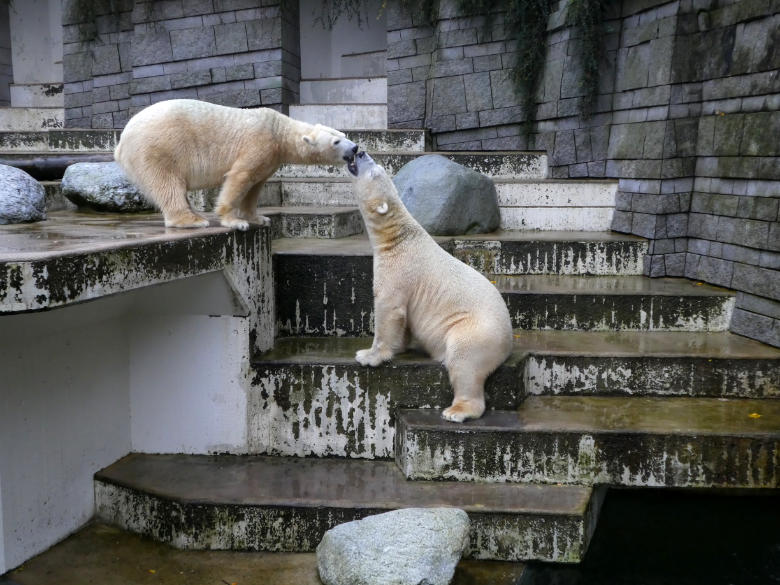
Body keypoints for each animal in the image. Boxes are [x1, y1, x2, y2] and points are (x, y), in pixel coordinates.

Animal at [114, 98, 358, 228]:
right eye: (336, 142)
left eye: (342, 134)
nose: (356, 148)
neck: (278, 130)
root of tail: (121, 142)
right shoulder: (258, 143)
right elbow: (240, 176)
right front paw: (234, 221)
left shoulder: (270, 158)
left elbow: (256, 185)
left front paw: (258, 218)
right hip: (158, 148)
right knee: (167, 183)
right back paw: (193, 220)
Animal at [348, 153, 512, 422]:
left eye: (374, 171)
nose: (359, 152)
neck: (399, 238)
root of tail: (508, 340)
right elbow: (403, 319)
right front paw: (399, 346)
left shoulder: (398, 270)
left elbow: (388, 308)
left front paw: (368, 356)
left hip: (475, 332)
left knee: (464, 363)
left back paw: (456, 411)